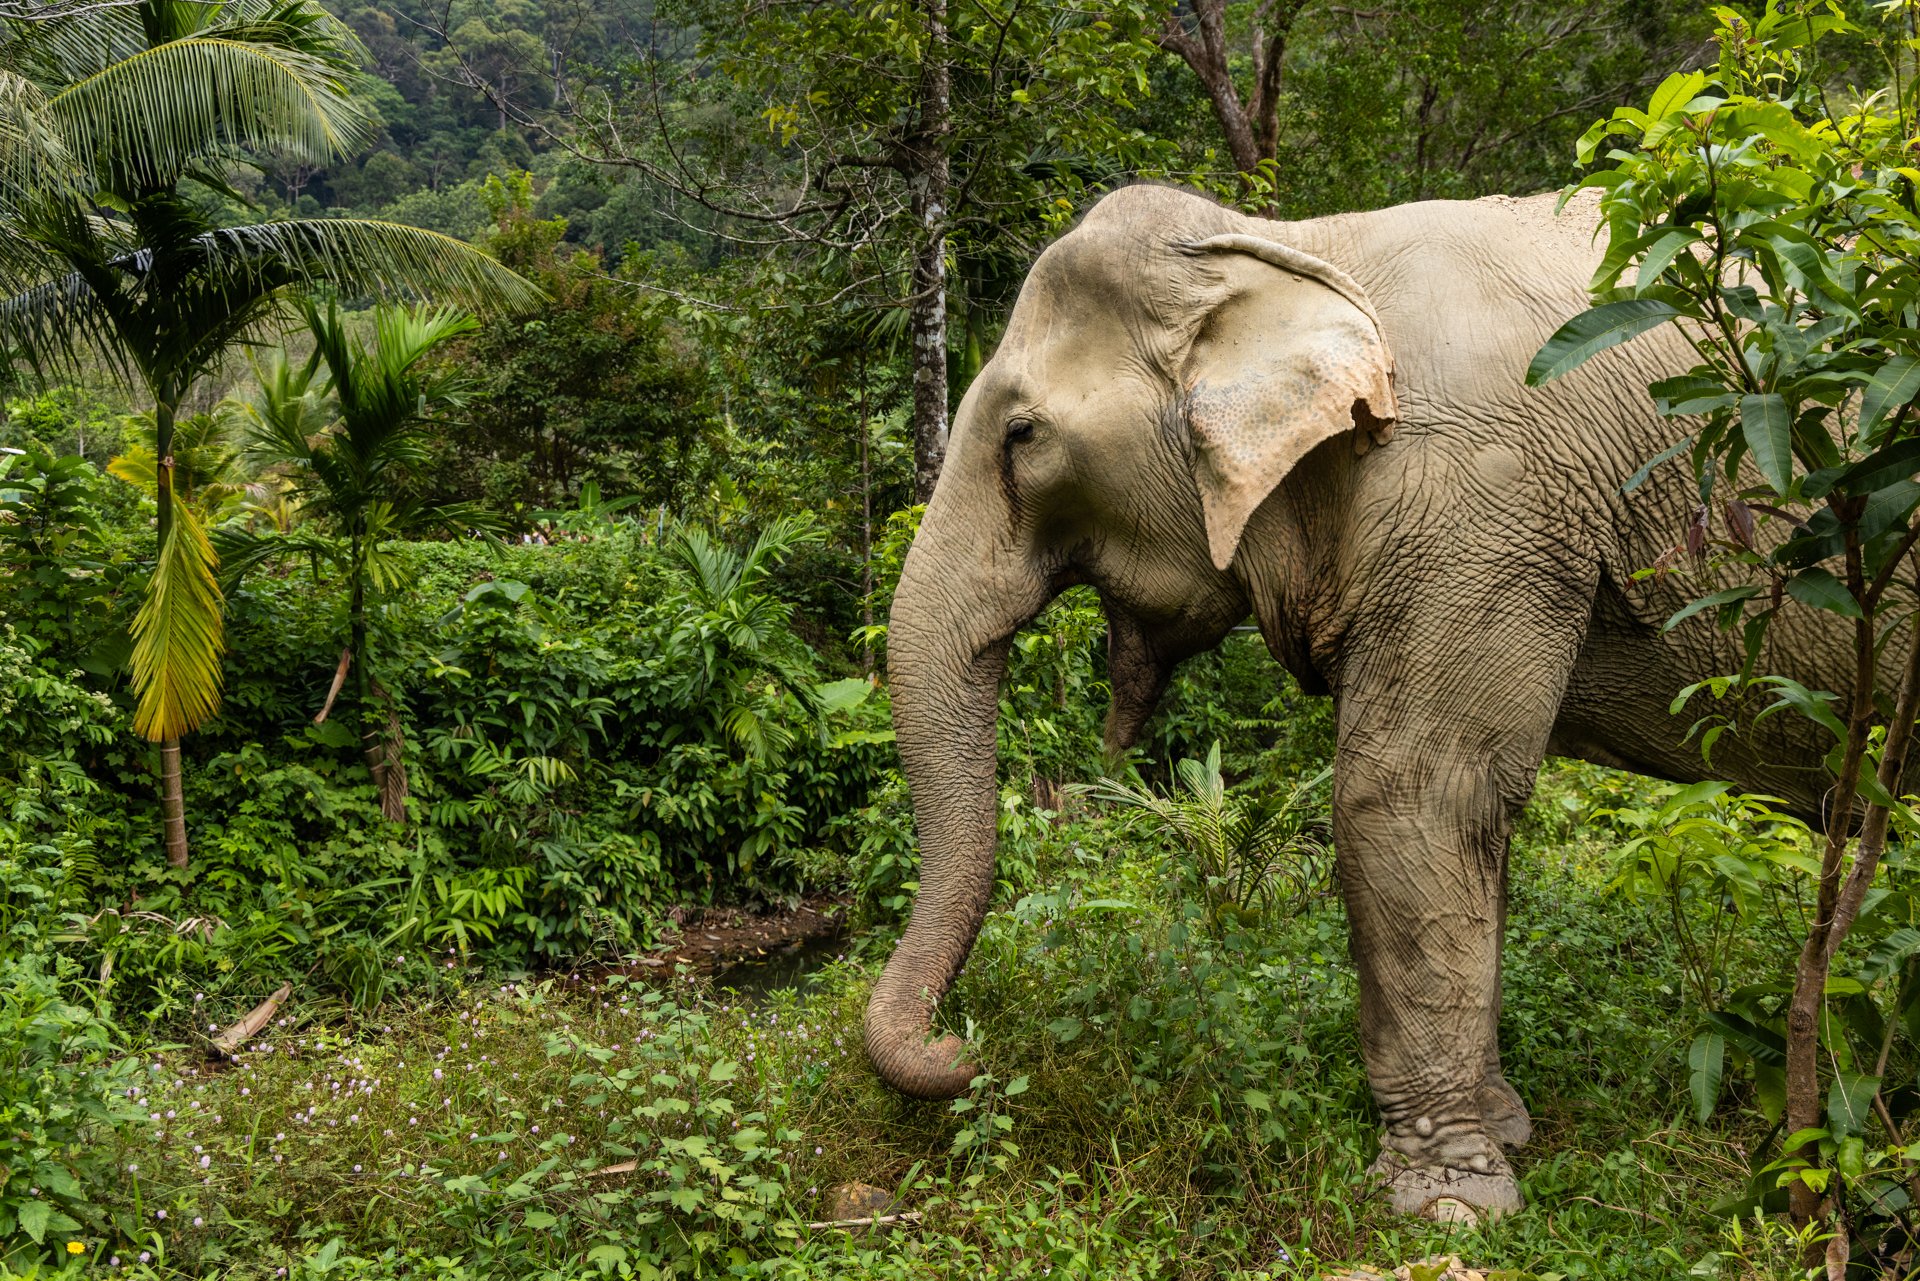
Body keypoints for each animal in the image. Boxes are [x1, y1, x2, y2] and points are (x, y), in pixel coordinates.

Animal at [864, 182, 1850, 1221]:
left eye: (1023, 437)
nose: (963, 1048)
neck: (1297, 247)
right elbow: (1475, 816)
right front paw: (1503, 1131)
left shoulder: (1473, 503)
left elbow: (1411, 793)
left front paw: (1445, 1201)